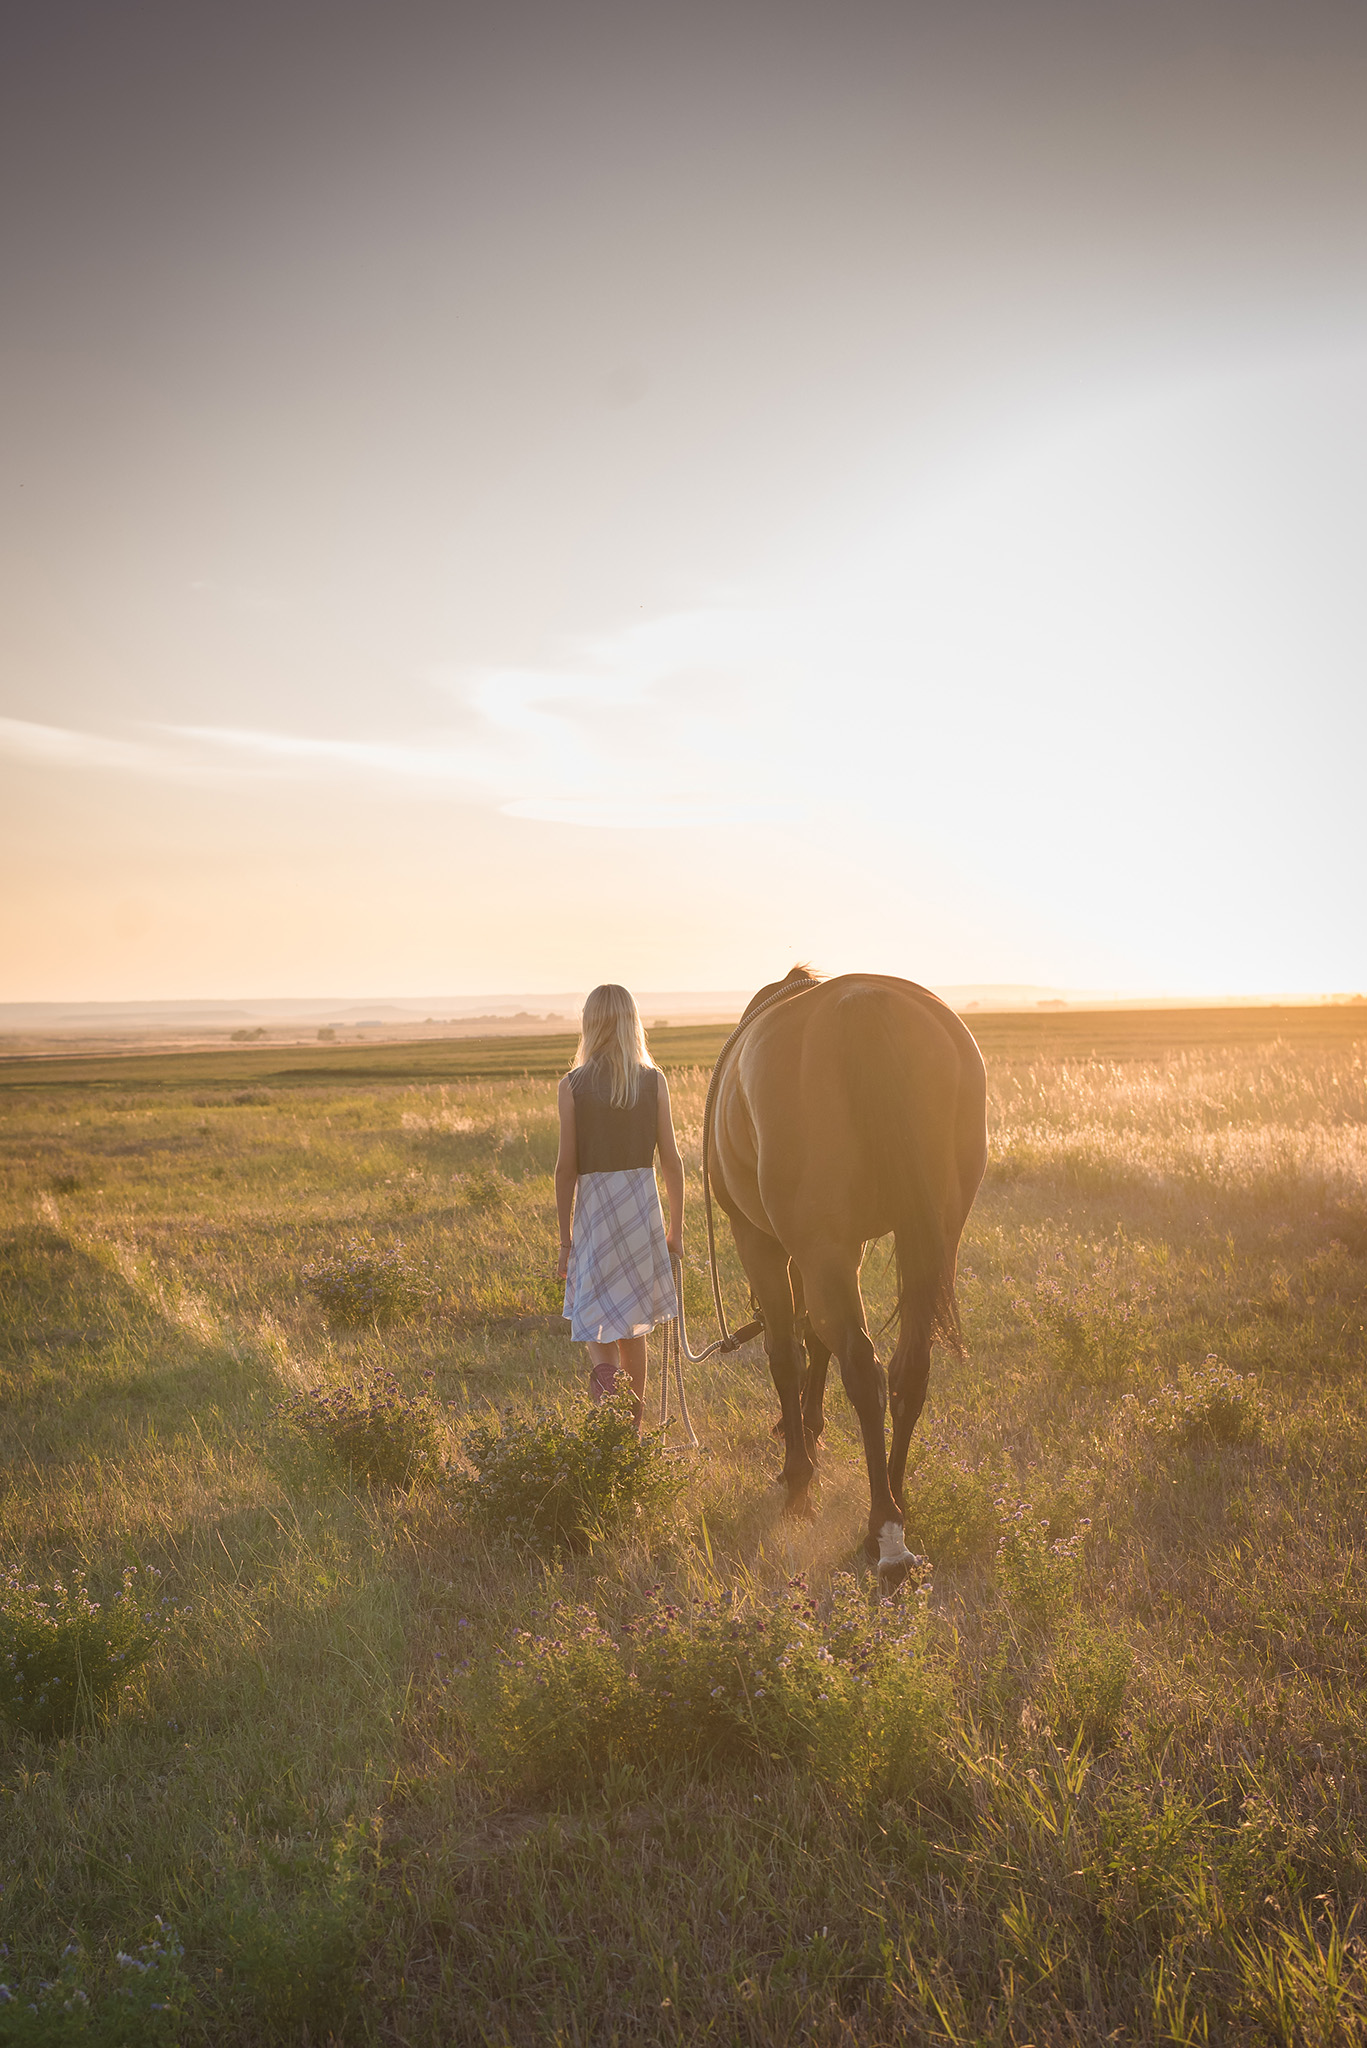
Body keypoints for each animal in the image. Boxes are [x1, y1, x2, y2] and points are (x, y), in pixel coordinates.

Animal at [713, 966, 987, 1589]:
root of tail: (862, 1003)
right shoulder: (848, 1248)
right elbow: (818, 1339)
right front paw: (808, 1431)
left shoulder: (762, 1241)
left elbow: (788, 1352)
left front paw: (797, 1475)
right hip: (930, 1236)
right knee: (908, 1368)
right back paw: (892, 1508)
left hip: (816, 1247)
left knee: (863, 1368)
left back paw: (885, 1530)